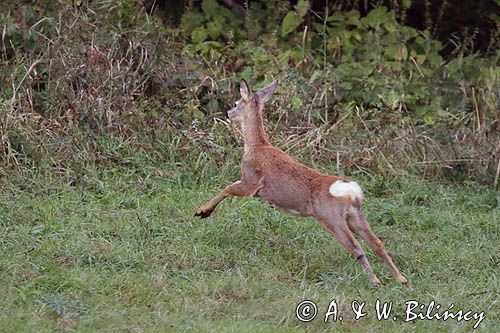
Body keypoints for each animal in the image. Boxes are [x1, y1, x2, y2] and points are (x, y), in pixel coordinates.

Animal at [194, 79, 410, 290]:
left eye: (236, 103)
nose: (228, 114)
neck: (256, 146)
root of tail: (350, 191)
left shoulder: (251, 181)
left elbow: (227, 188)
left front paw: (202, 211)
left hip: (330, 217)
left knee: (356, 247)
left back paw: (375, 281)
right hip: (355, 216)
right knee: (377, 243)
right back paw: (402, 281)